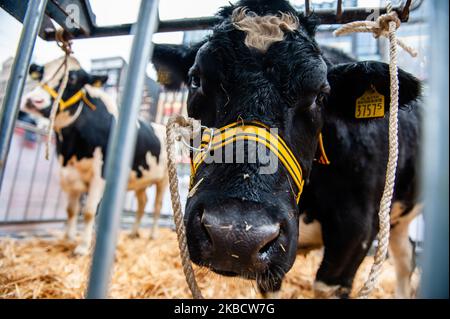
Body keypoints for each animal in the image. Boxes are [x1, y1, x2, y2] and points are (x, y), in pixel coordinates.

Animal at [21, 56, 169, 256]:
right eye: (41, 73)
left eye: (73, 79)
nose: (32, 100)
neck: (71, 148)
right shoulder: (69, 174)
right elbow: (71, 210)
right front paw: (68, 238)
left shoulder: (100, 175)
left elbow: (89, 211)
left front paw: (82, 247)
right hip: (142, 180)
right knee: (142, 203)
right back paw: (134, 233)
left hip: (163, 180)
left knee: (157, 207)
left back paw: (152, 234)